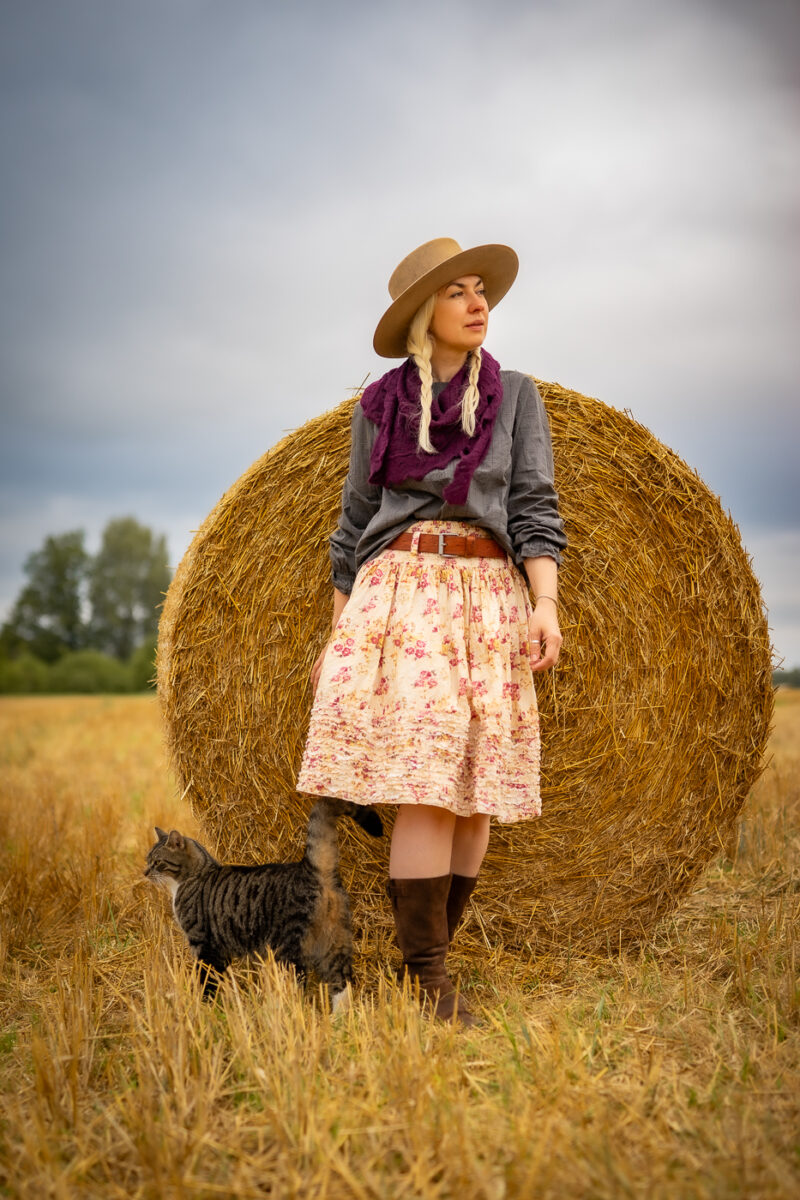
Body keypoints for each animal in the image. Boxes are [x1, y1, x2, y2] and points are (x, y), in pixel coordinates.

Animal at [145, 801, 383, 1008]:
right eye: (148, 860)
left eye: (157, 862)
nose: (145, 872)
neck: (193, 875)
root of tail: (311, 868)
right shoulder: (219, 950)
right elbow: (221, 979)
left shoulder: (203, 944)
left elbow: (207, 980)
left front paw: (204, 1008)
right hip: (334, 941)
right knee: (342, 984)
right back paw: (338, 1022)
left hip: (289, 949)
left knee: (297, 984)